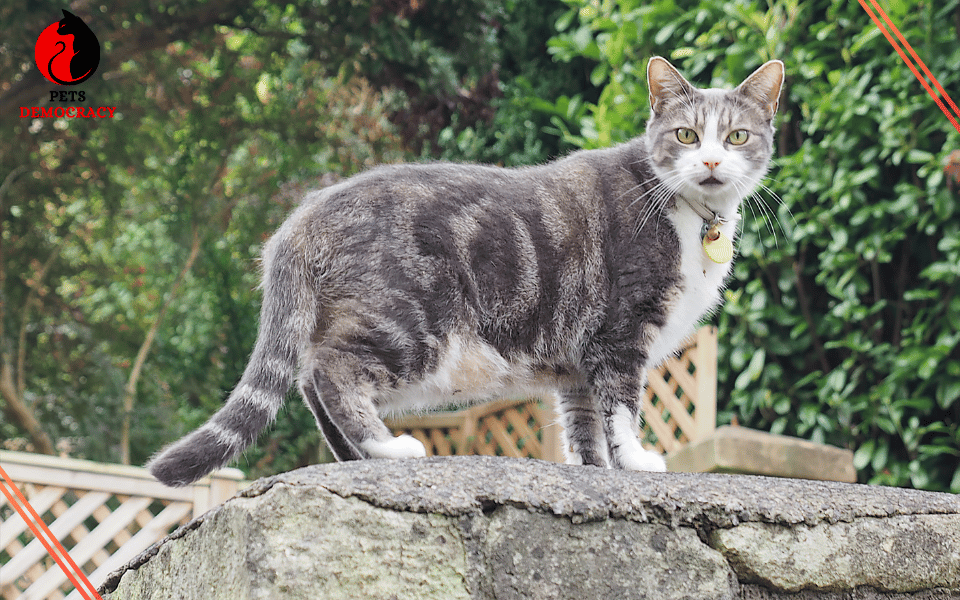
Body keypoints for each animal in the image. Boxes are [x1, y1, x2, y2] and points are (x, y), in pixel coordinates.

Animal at [148, 56, 780, 488]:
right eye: (686, 134)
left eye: (738, 136)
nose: (711, 160)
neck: (690, 215)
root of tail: (302, 218)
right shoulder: (621, 333)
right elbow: (621, 409)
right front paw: (640, 461)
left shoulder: (577, 365)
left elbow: (584, 427)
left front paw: (595, 472)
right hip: (410, 324)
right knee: (330, 371)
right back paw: (387, 450)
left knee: (307, 381)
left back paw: (358, 458)